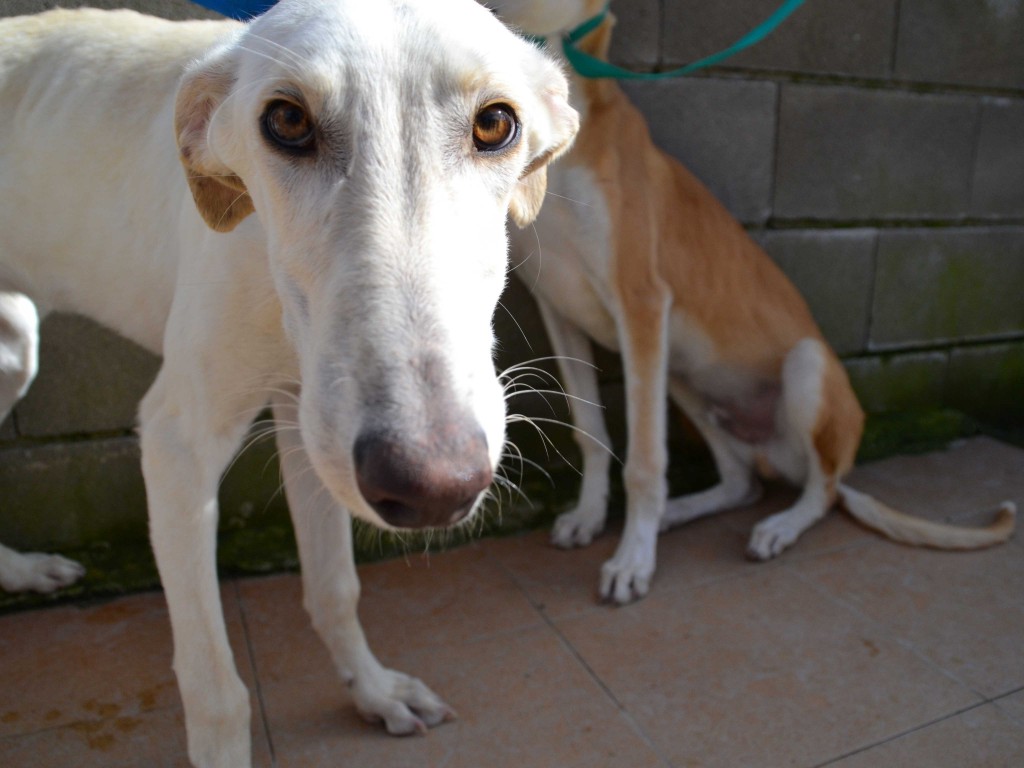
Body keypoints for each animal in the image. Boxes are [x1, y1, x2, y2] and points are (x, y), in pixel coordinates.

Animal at [0, 3, 577, 765]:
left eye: (495, 124)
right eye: (287, 120)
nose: (435, 486)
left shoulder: (309, 423)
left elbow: (334, 587)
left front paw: (373, 692)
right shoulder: (178, 441)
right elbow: (216, 687)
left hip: (13, 343)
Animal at [489, 1, 1015, 606]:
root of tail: (785, 454)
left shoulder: (641, 302)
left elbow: (645, 460)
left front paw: (633, 559)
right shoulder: (560, 309)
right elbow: (591, 432)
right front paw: (591, 516)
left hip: (804, 367)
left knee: (822, 492)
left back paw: (779, 526)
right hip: (684, 379)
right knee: (744, 483)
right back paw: (679, 512)